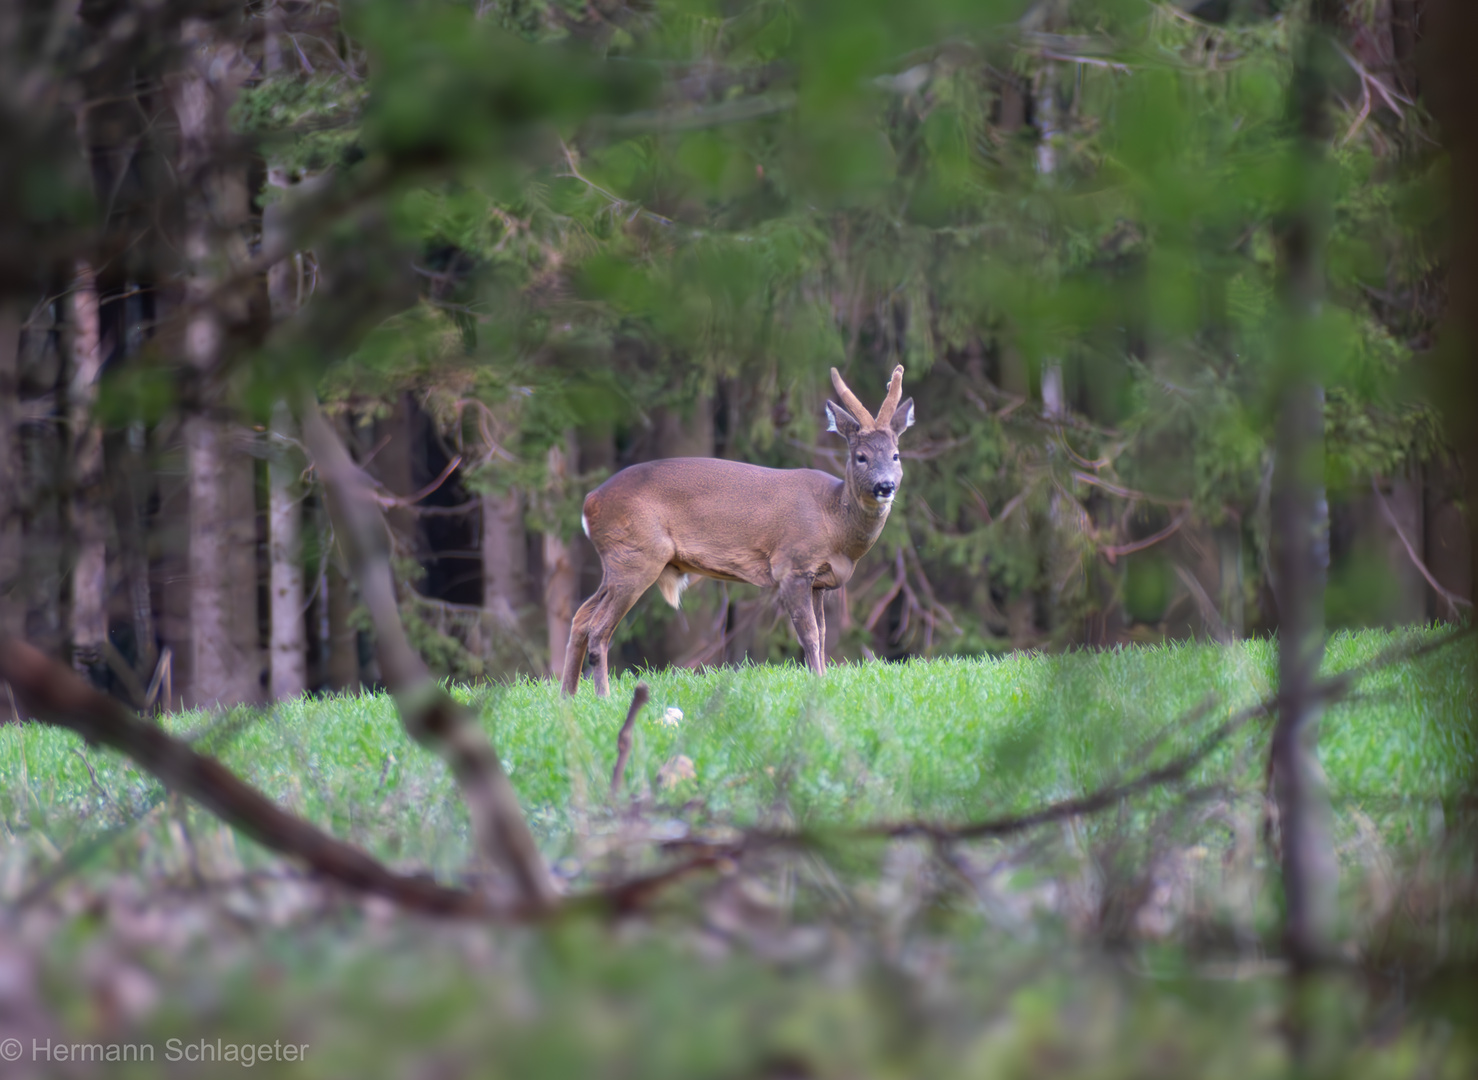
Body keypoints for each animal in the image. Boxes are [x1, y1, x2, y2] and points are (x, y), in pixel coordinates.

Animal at [561, 367, 910, 697]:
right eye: (861, 456)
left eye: (895, 455)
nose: (885, 486)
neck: (835, 522)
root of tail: (589, 503)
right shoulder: (792, 565)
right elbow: (809, 634)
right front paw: (818, 683)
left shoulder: (819, 581)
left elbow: (823, 635)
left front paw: (821, 681)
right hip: (637, 554)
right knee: (598, 628)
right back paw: (602, 697)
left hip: (618, 560)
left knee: (580, 618)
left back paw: (567, 697)